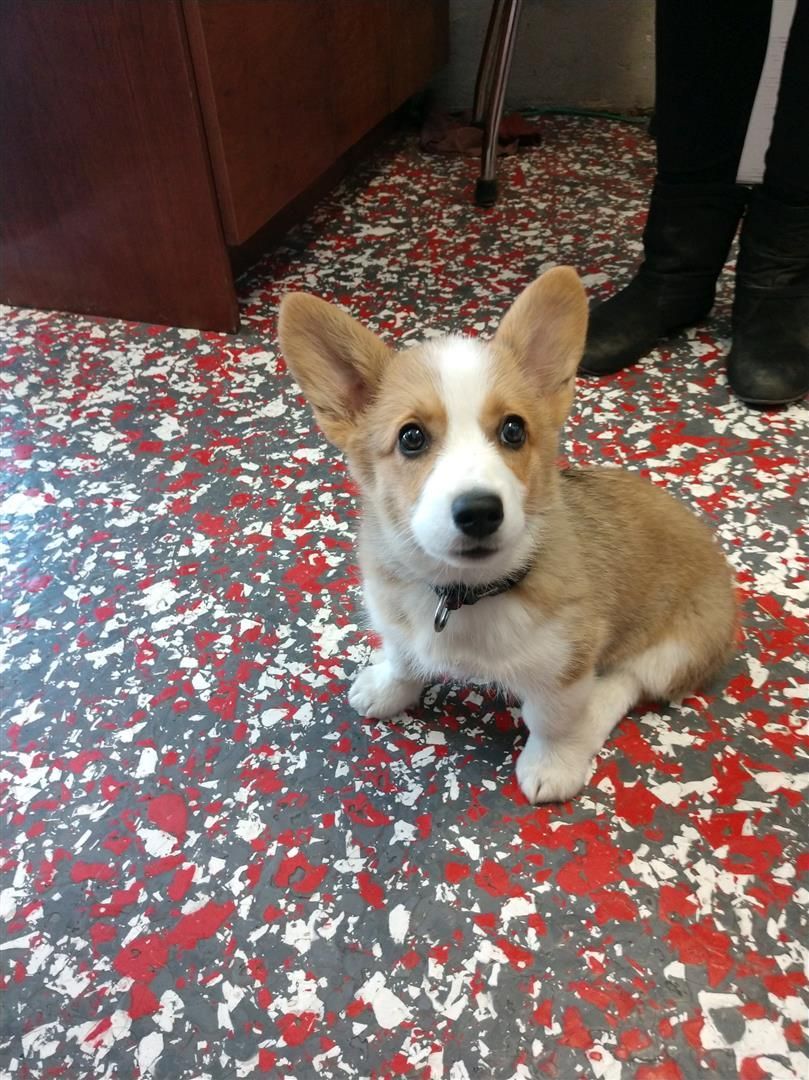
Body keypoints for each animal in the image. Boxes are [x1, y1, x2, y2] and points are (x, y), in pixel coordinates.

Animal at [278, 267, 738, 803]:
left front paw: (553, 763)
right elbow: (403, 656)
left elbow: (552, 719)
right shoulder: (393, 610)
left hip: (678, 648)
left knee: (628, 681)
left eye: (513, 430)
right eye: (411, 437)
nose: (479, 512)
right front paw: (389, 688)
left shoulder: (566, 664)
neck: (462, 594)